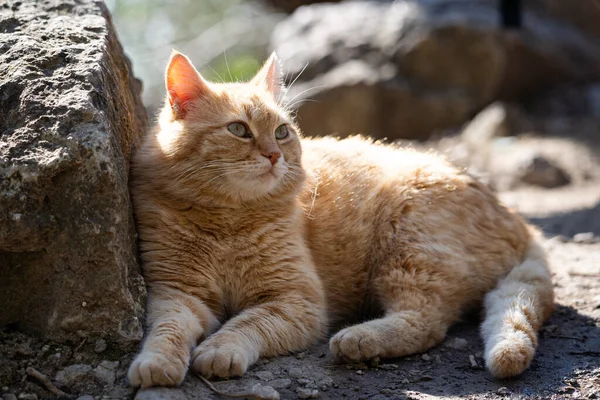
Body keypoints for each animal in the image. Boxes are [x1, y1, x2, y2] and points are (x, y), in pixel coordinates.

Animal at [126, 50, 552, 388]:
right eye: (238, 129)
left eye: (282, 132)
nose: (273, 155)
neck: (228, 220)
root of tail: (517, 218)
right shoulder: (177, 292)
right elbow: (167, 329)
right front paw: (156, 363)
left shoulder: (297, 302)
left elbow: (246, 323)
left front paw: (220, 349)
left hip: (409, 250)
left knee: (426, 320)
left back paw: (358, 340)